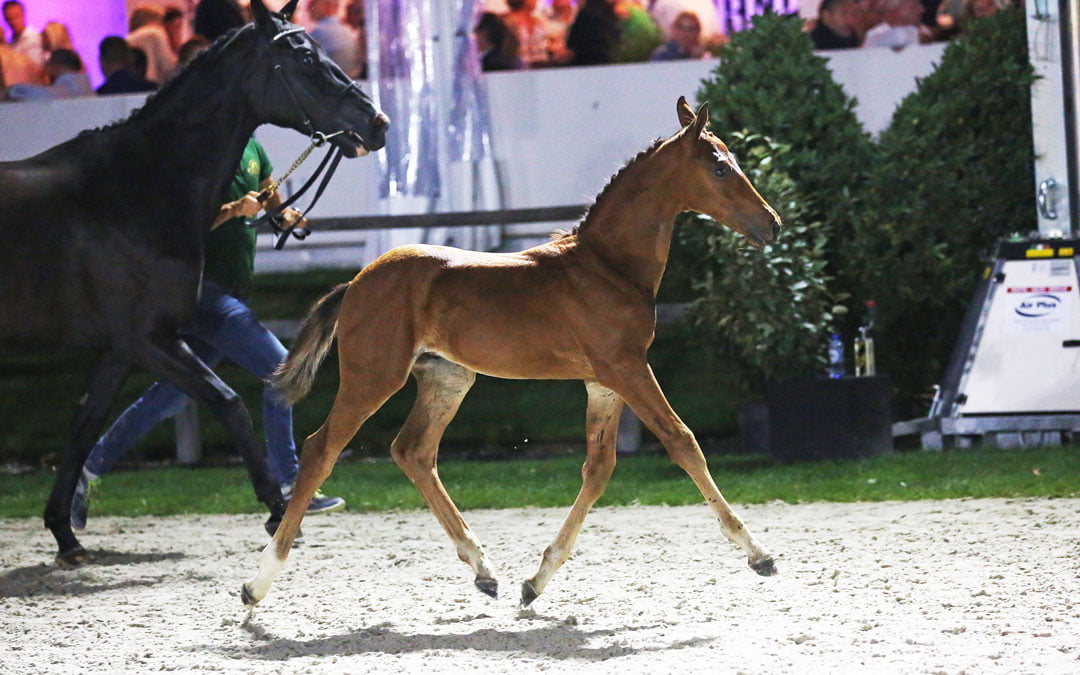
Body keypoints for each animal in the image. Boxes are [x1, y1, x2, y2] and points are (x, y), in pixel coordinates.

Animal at [0, 0, 387, 567]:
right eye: (302, 58)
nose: (377, 124)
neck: (137, 189)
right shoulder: (149, 339)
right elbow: (228, 403)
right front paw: (277, 511)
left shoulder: (120, 348)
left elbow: (84, 427)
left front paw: (65, 534)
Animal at [242, 97, 780, 609]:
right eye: (719, 168)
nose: (772, 224)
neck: (606, 266)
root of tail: (355, 283)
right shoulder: (627, 369)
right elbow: (682, 442)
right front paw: (759, 554)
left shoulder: (603, 382)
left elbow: (598, 468)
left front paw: (536, 581)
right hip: (373, 376)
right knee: (322, 449)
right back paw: (258, 582)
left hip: (448, 379)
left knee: (413, 451)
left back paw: (483, 569)